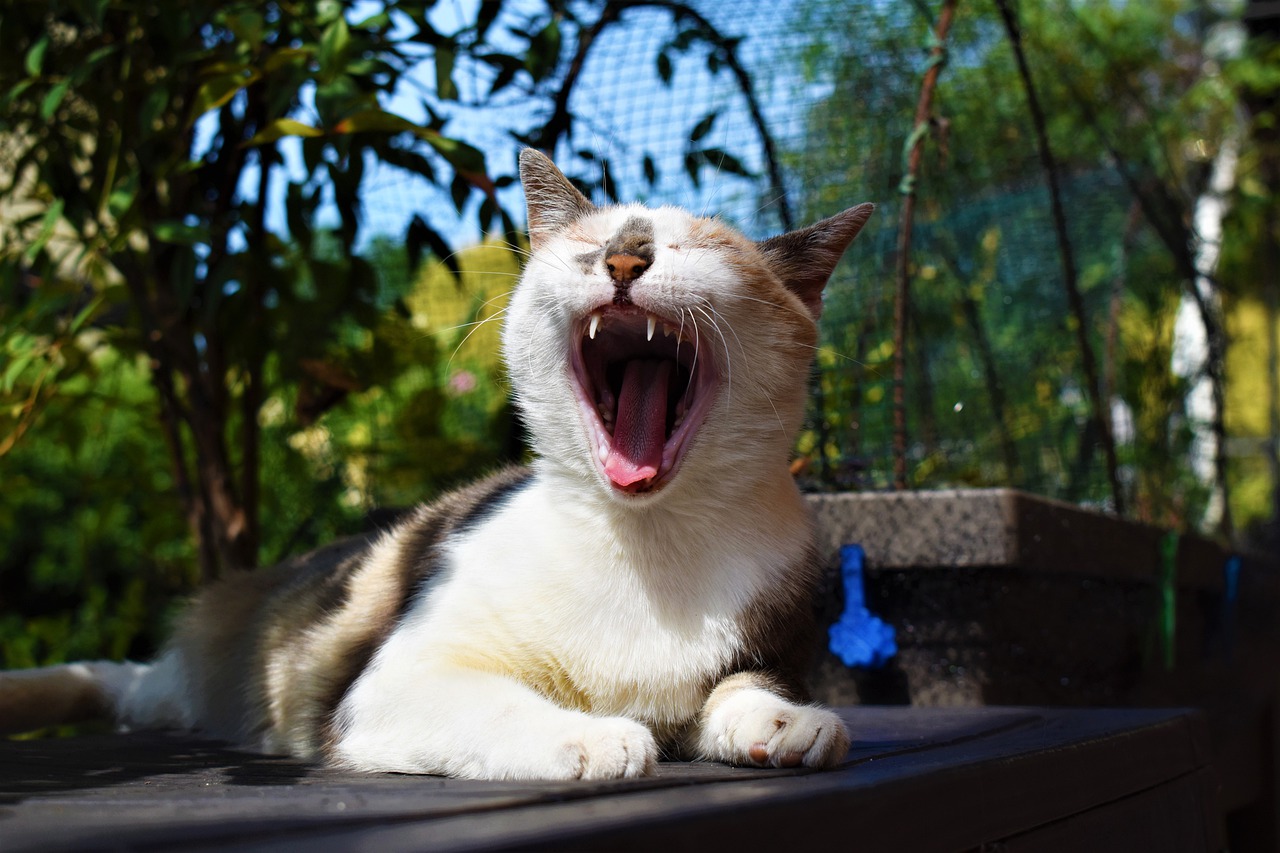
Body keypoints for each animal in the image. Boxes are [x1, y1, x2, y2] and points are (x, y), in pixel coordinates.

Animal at [0, 151, 870, 778]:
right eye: (590, 246)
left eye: (698, 245)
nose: (624, 260)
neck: (647, 546)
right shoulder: (396, 678)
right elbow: (499, 702)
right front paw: (594, 738)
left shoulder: (772, 640)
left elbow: (744, 686)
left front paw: (791, 723)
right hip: (202, 677)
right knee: (118, 682)